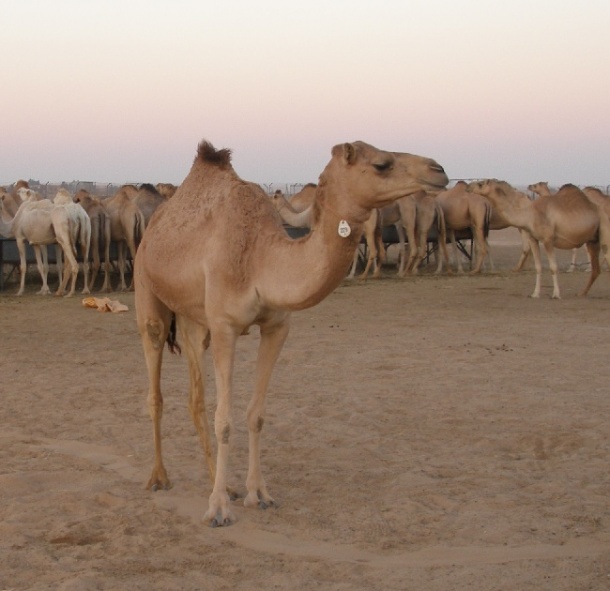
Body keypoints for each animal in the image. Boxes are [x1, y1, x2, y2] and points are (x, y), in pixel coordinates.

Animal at [134, 140, 446, 528]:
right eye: (381, 164)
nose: (438, 171)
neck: (260, 260)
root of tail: (152, 228)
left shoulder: (276, 327)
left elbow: (256, 414)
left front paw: (258, 494)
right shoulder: (225, 326)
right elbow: (226, 420)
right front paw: (218, 510)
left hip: (194, 322)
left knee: (195, 398)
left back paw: (220, 483)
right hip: (149, 297)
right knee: (156, 388)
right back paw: (159, 478)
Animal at [466, 178, 608, 298]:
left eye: (480, 184)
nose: (468, 187)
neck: (530, 214)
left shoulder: (548, 240)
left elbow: (553, 267)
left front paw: (556, 294)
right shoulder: (533, 239)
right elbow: (538, 267)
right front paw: (535, 294)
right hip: (593, 240)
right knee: (596, 269)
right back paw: (581, 293)